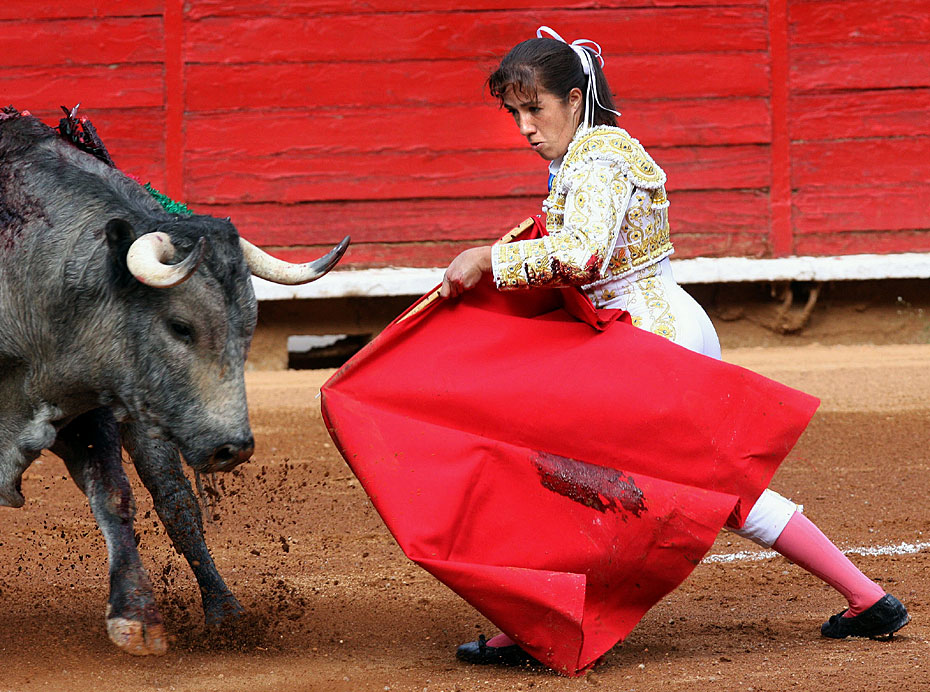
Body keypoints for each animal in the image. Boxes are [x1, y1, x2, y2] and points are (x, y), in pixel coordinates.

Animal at [0, 108, 348, 656]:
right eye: (181, 326)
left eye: (248, 328)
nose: (233, 448)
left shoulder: (93, 403)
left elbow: (115, 493)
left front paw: (136, 618)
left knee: (176, 501)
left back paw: (226, 612)